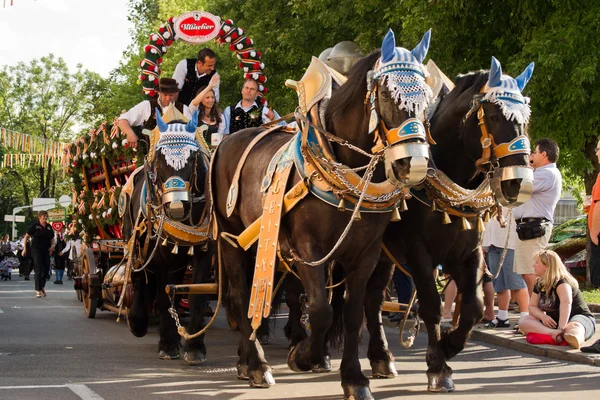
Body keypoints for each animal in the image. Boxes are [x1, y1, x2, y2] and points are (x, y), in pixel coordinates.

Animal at [120, 108, 212, 364]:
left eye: (192, 158)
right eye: (159, 160)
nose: (177, 206)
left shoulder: (204, 252)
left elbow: (196, 294)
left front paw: (195, 347)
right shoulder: (160, 255)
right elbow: (161, 295)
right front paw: (168, 345)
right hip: (135, 240)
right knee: (138, 277)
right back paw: (138, 322)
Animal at [213, 29, 434, 398]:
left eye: (428, 97)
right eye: (387, 93)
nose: (414, 164)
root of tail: (225, 142)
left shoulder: (366, 254)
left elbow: (353, 312)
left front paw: (354, 378)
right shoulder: (307, 250)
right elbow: (319, 311)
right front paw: (302, 356)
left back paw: (246, 359)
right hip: (231, 240)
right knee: (242, 295)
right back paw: (256, 365)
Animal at [376, 57, 536, 390]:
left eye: (526, 118)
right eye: (492, 115)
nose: (521, 184)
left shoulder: (468, 254)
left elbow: (474, 306)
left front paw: (450, 345)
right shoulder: (418, 253)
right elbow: (432, 306)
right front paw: (437, 365)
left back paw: (382, 358)